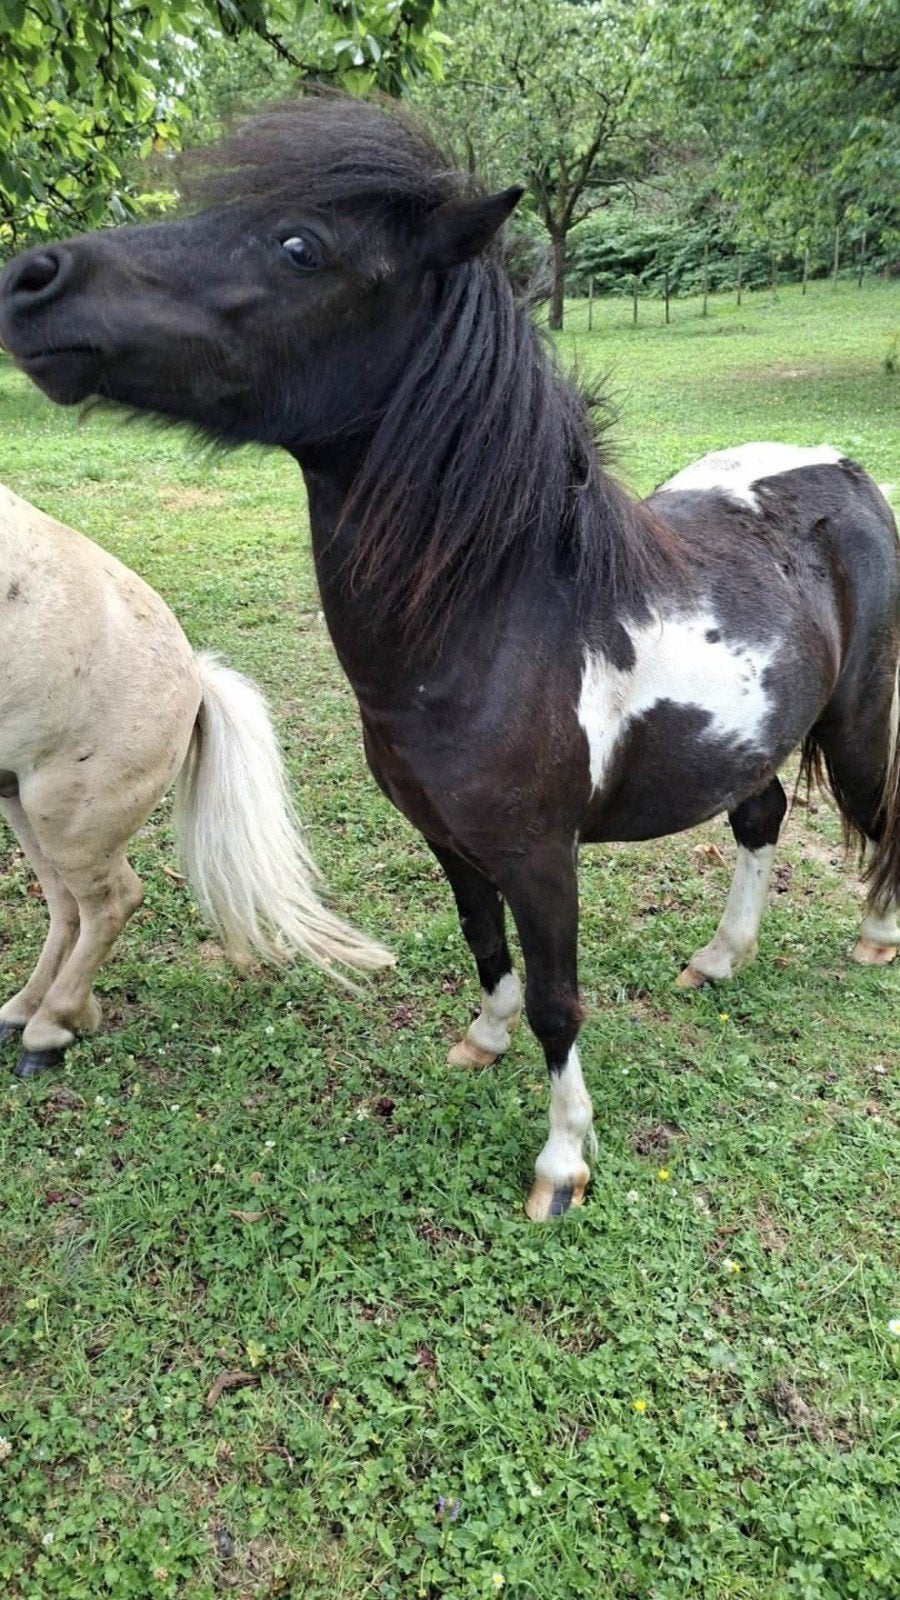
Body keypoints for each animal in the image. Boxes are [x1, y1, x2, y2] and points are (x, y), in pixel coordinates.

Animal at [0, 481, 391, 1079]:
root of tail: (193, 677)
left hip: (67, 820)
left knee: (108, 904)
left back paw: (50, 1028)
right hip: (24, 802)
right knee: (67, 906)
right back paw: (29, 1009)